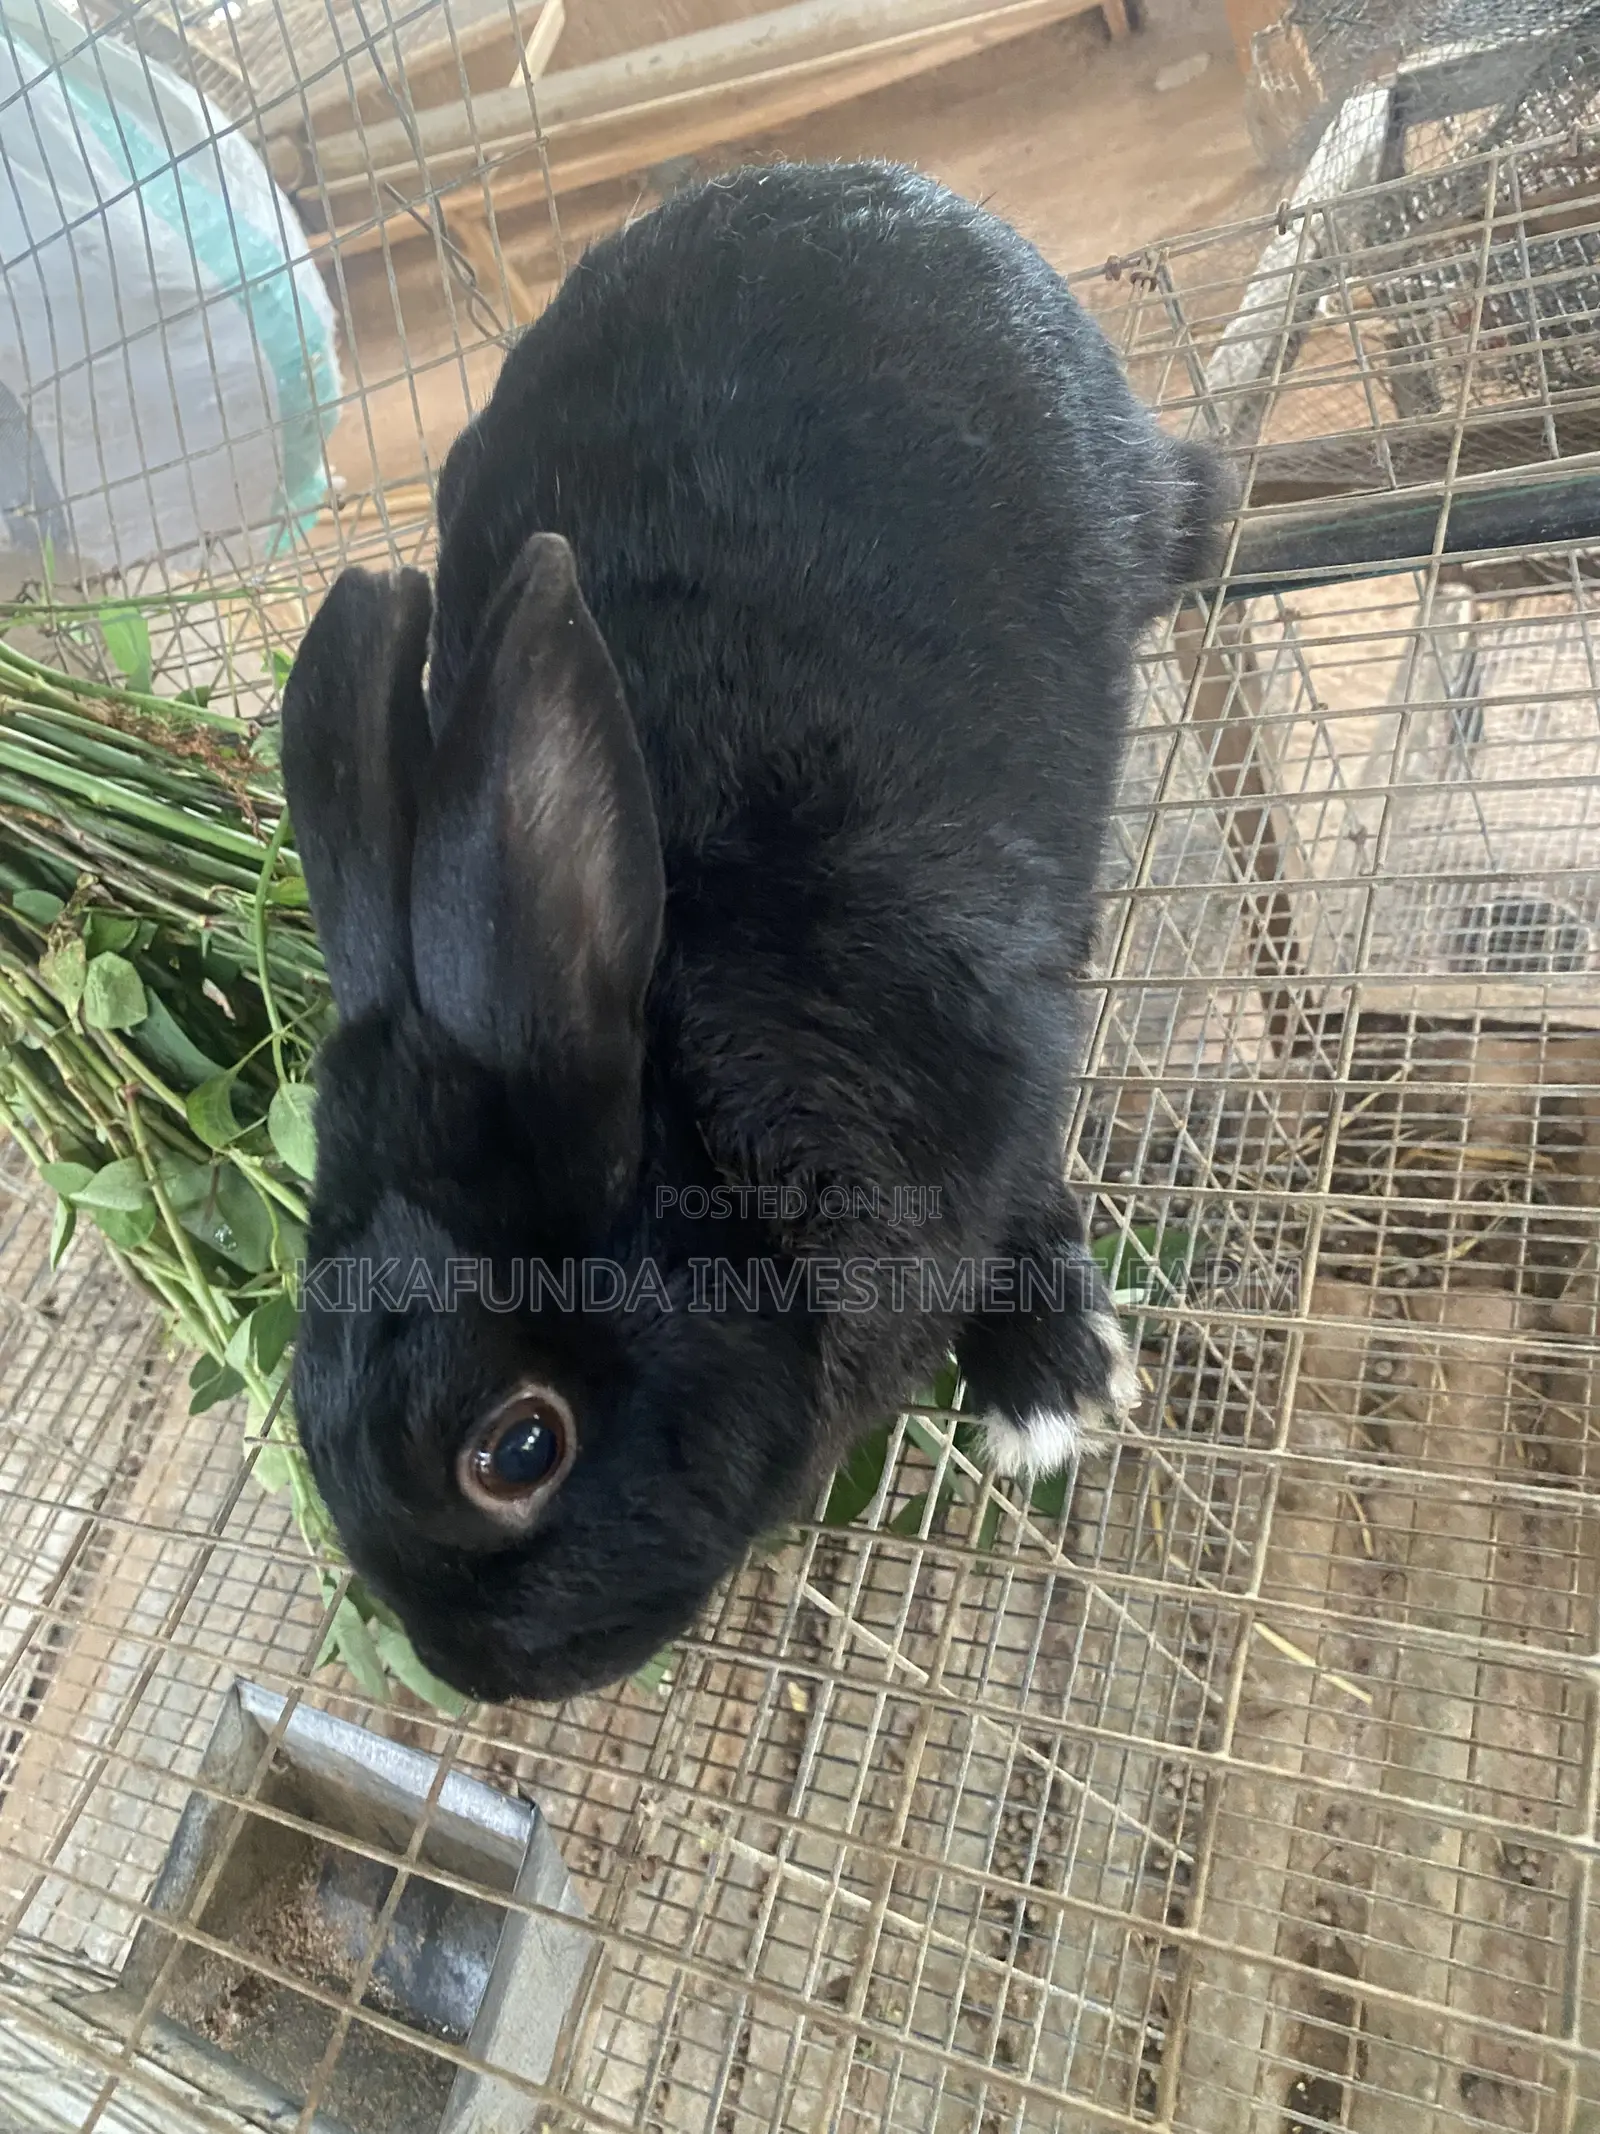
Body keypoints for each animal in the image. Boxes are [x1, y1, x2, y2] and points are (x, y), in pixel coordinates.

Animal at [281, 161, 1230, 1705]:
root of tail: (846, 182)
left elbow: (1030, 1189)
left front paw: (1052, 1386)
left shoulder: (1010, 1058)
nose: (471, 1671)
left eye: (518, 1447)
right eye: (308, 1418)